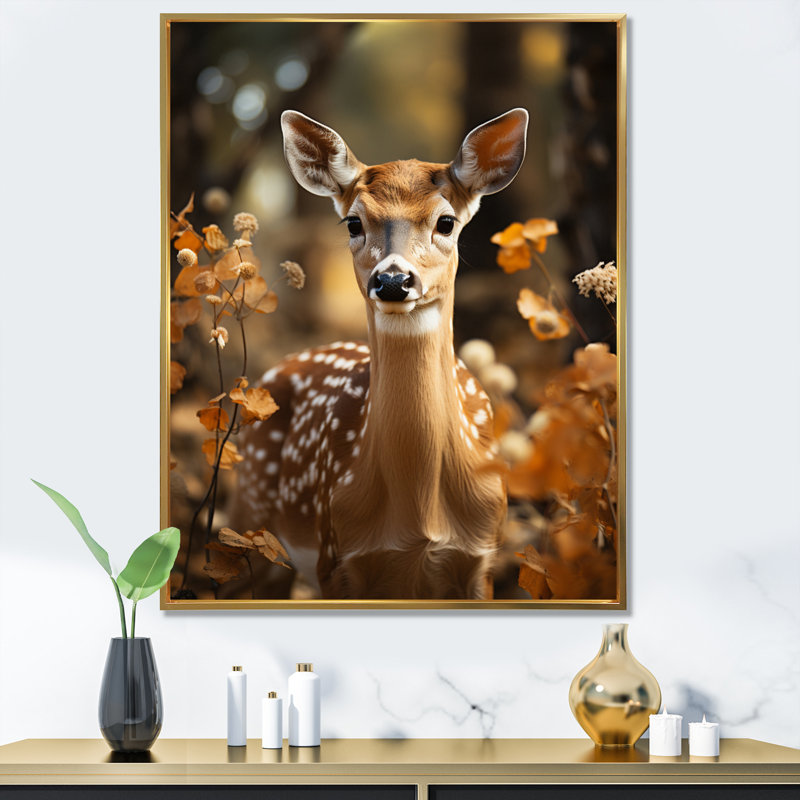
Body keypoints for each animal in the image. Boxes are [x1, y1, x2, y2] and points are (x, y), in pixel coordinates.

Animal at [230, 107, 529, 600]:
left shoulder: (483, 558)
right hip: (253, 520)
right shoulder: (337, 557)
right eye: (353, 223)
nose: (392, 281)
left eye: (446, 222)